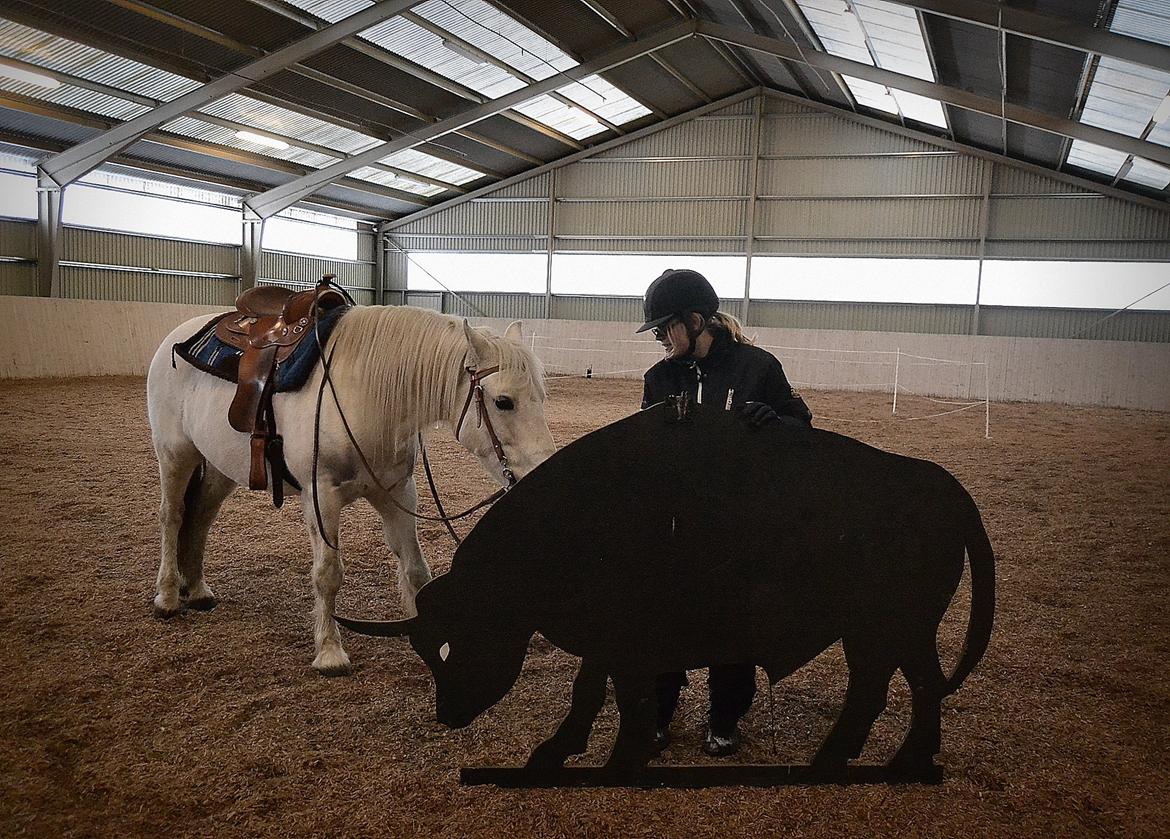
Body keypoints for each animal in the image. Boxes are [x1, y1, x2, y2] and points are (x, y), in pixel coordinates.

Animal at [146, 306, 556, 674]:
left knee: (201, 517)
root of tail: (174, 338)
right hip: (175, 454)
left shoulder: (398, 494)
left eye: (542, 397)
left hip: (219, 467)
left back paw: (198, 588)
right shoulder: (321, 498)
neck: (363, 395)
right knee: (172, 517)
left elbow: (416, 570)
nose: (543, 473)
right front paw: (329, 652)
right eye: (503, 401)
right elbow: (328, 574)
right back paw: (167, 595)